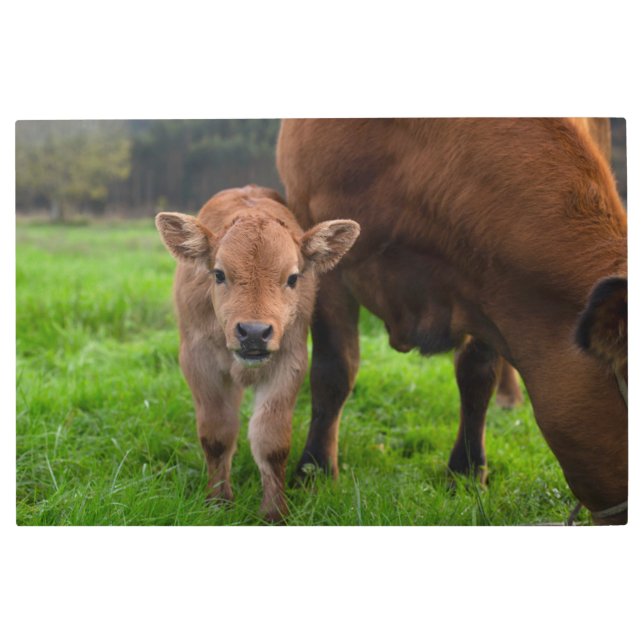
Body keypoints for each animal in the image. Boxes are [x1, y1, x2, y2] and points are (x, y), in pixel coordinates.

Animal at [155, 186, 359, 522]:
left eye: (292, 278)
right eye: (219, 274)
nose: (253, 332)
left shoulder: (289, 362)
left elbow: (271, 442)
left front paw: (274, 513)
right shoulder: (199, 363)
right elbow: (217, 435)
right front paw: (218, 502)